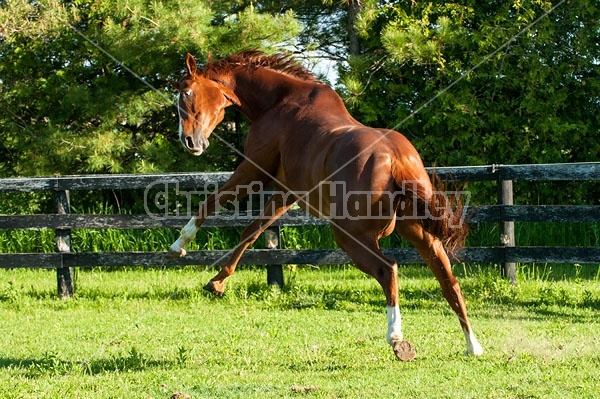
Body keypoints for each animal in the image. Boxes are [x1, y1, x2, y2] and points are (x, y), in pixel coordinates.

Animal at [168, 50, 482, 360]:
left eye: (186, 93)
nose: (189, 142)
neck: (278, 102)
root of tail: (397, 160)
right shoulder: (286, 192)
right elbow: (252, 232)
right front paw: (218, 281)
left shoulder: (253, 170)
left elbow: (210, 203)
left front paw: (179, 246)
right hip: (421, 235)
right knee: (449, 282)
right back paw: (472, 345)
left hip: (351, 236)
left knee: (388, 269)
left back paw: (396, 338)